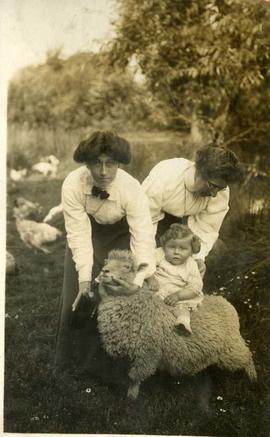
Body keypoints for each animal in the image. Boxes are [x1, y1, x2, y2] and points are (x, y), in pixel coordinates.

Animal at [97, 249, 258, 398]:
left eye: (127, 267)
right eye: (106, 262)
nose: (105, 271)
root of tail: (225, 301)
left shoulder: (147, 354)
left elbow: (134, 377)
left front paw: (131, 397)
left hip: (231, 349)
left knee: (247, 356)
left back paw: (253, 377)